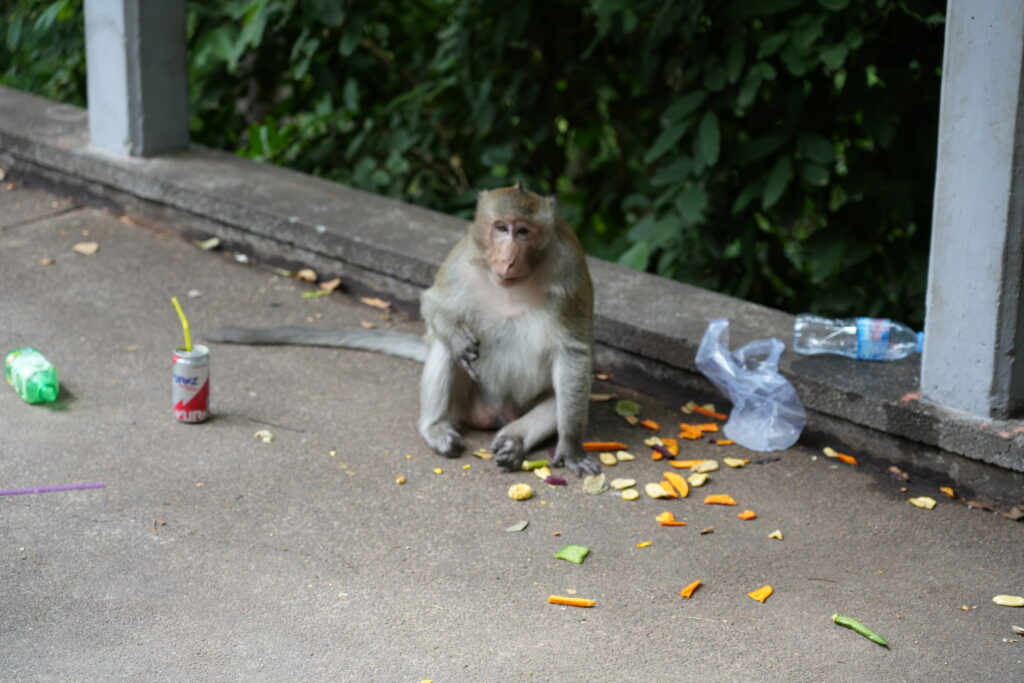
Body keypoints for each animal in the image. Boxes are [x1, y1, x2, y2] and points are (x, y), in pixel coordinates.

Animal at [205, 183, 600, 476]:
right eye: (501, 227)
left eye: (524, 231)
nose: (508, 257)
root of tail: (494, 415)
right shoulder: (461, 259)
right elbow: (434, 305)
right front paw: (459, 339)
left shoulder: (570, 271)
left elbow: (574, 352)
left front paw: (570, 447)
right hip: (464, 403)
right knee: (441, 348)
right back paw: (435, 428)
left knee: (560, 395)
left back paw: (513, 440)